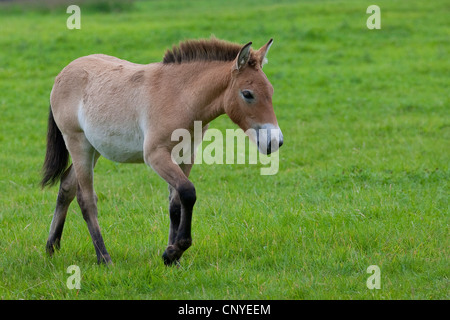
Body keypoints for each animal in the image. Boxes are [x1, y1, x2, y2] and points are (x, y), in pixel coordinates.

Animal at [40, 37, 284, 264]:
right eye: (248, 93)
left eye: (271, 91)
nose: (275, 141)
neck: (180, 97)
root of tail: (63, 73)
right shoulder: (156, 156)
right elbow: (188, 192)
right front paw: (176, 250)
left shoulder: (186, 155)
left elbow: (175, 204)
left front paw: (172, 256)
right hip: (78, 143)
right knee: (86, 199)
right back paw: (104, 257)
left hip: (94, 148)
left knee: (67, 186)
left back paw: (52, 247)